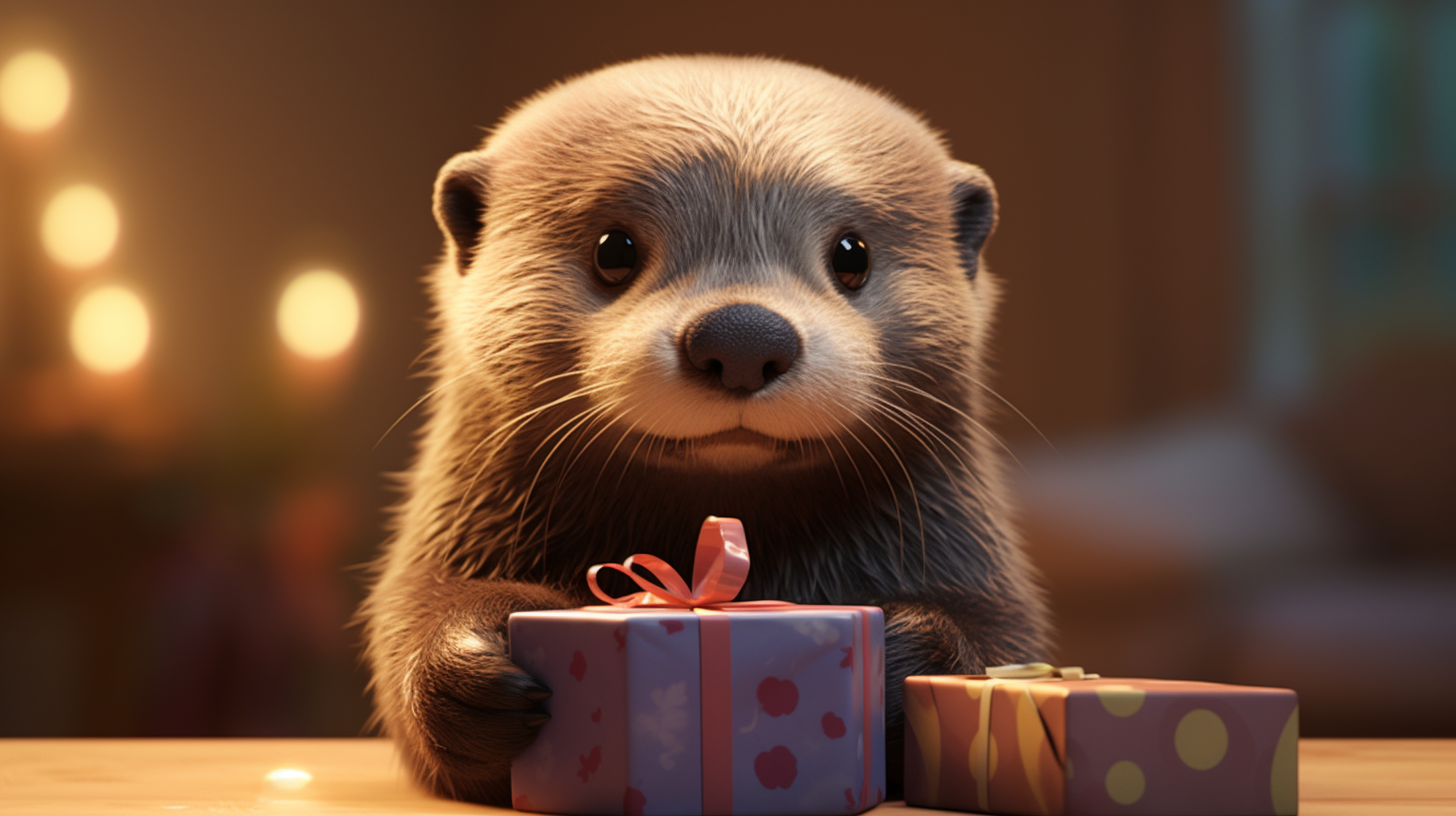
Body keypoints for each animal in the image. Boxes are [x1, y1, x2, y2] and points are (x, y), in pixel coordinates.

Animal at [361, 55, 1049, 805]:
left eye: (852, 254)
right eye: (613, 249)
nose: (743, 337)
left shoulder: (965, 556)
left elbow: (1004, 642)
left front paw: (902, 659)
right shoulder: (458, 535)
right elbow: (410, 619)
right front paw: (468, 661)